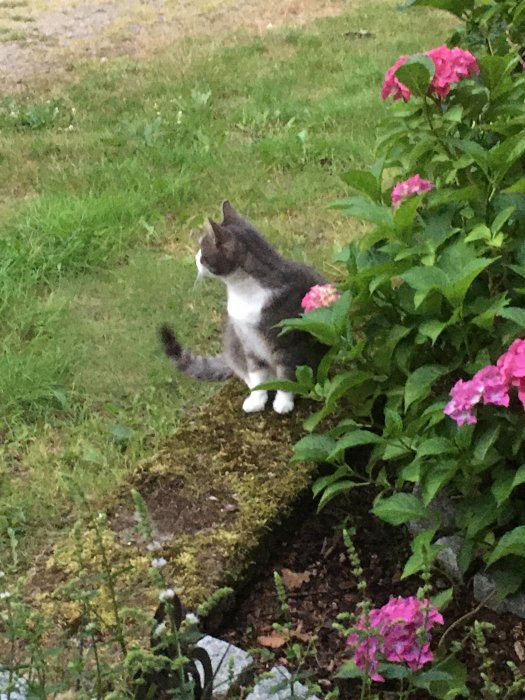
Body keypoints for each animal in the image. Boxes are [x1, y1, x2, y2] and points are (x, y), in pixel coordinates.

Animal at [158, 200, 326, 412]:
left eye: (203, 252)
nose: (195, 258)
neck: (243, 293)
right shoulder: (247, 342)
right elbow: (255, 372)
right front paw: (256, 399)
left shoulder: (287, 341)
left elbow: (287, 373)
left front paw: (283, 402)